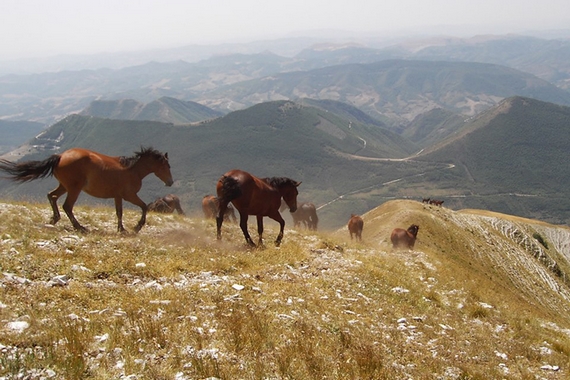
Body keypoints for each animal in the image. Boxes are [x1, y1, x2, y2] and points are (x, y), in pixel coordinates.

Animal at [0, 147, 173, 233]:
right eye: (167, 166)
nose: (170, 182)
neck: (132, 170)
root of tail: (60, 156)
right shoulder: (129, 195)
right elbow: (144, 206)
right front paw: (137, 226)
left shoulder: (118, 196)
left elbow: (119, 212)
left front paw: (121, 229)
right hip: (74, 188)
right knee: (67, 206)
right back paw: (80, 227)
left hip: (65, 186)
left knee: (52, 196)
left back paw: (54, 219)